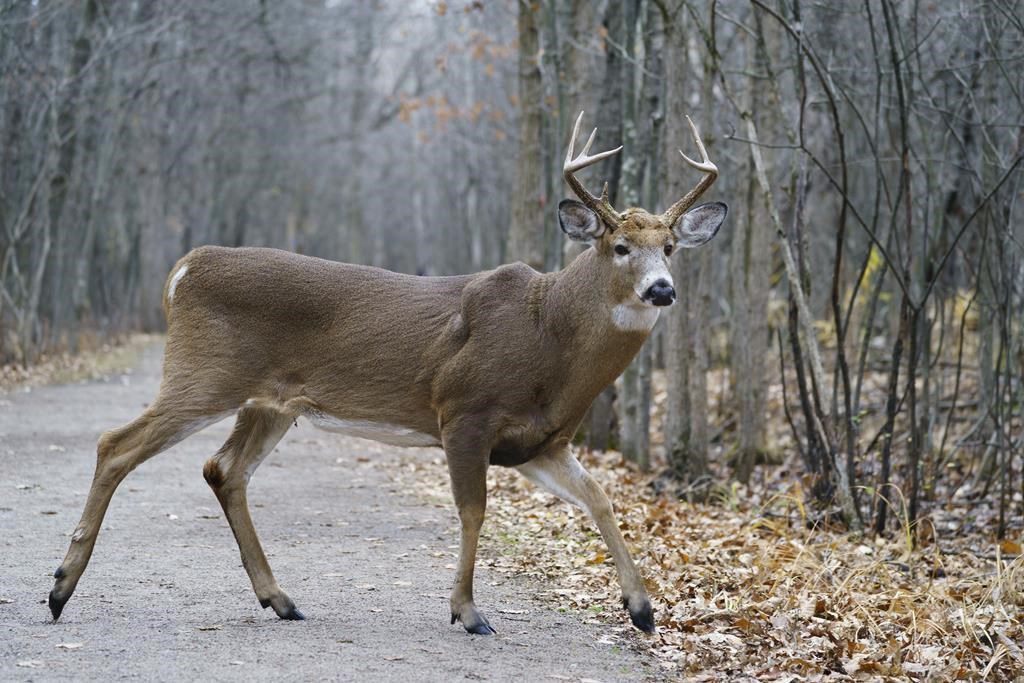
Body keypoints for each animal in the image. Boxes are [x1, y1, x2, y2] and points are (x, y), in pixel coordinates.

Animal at [48, 112, 726, 636]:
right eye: (620, 247)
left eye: (669, 248)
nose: (661, 290)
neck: (549, 336)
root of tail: (183, 269)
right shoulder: (463, 410)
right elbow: (473, 511)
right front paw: (468, 612)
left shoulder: (540, 443)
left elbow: (601, 500)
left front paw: (642, 610)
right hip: (205, 373)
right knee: (116, 444)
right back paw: (59, 588)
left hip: (271, 403)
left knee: (224, 469)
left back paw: (280, 599)